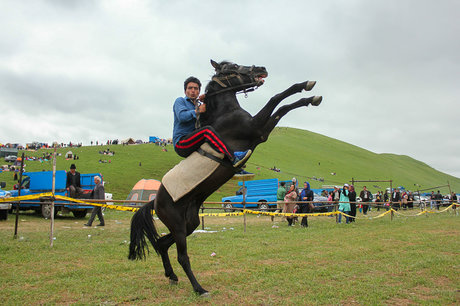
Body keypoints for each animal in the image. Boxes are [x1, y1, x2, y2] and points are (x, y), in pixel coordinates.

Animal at [127, 58, 322, 296]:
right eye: (233, 67)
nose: (262, 69)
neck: (224, 114)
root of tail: (155, 200)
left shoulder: (261, 131)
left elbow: (282, 105)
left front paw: (309, 93)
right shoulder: (257, 129)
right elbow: (277, 100)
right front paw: (309, 91)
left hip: (189, 223)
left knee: (162, 244)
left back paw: (172, 276)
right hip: (179, 227)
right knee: (182, 256)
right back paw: (199, 288)